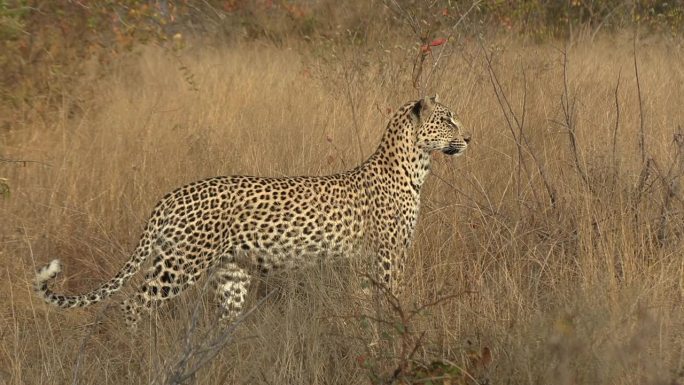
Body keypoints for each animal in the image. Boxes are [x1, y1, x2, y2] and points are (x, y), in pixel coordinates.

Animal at [33, 96, 470, 328]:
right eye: (447, 119)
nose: (469, 137)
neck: (414, 168)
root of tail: (171, 196)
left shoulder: (365, 265)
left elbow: (367, 308)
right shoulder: (389, 258)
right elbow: (394, 302)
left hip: (230, 275)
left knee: (220, 322)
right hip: (178, 266)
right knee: (129, 306)